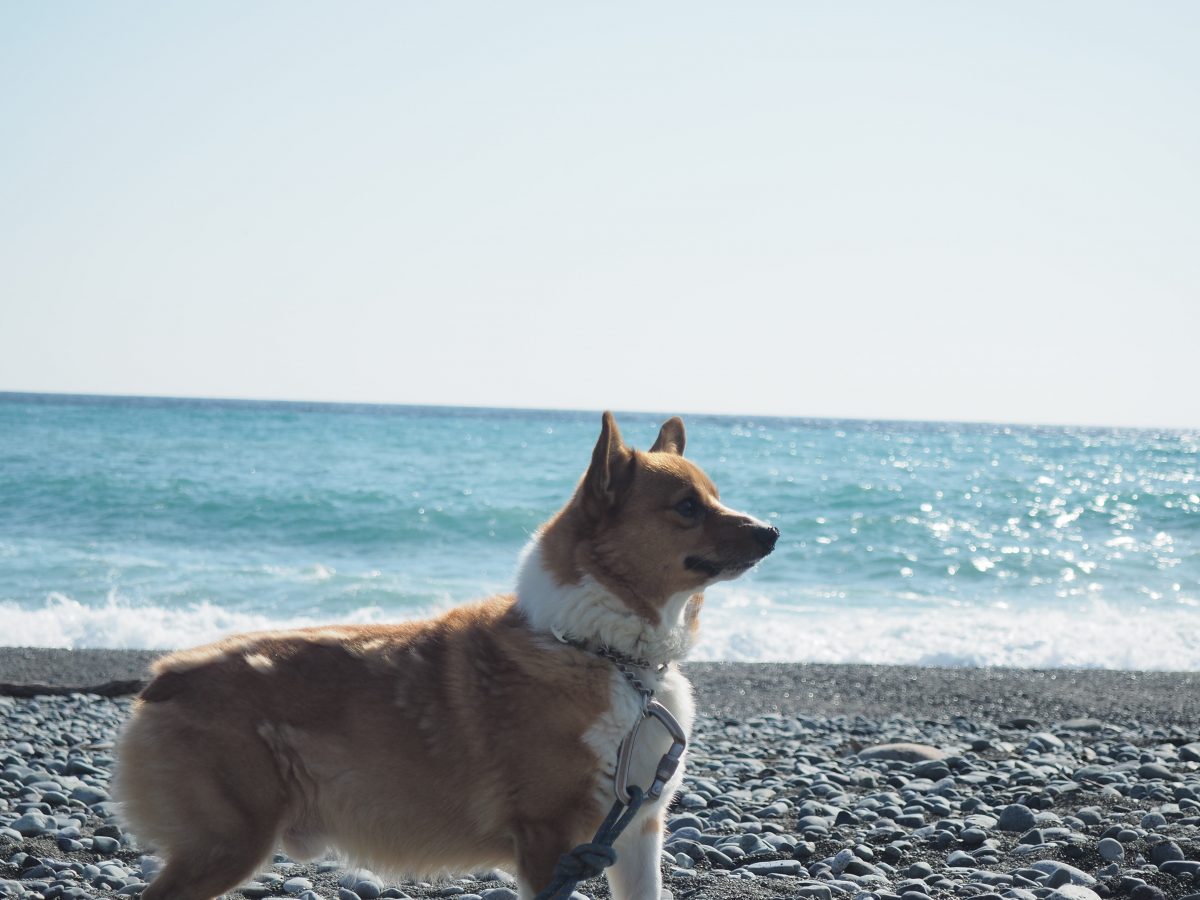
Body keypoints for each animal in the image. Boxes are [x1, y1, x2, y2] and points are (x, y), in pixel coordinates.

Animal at [112, 415, 777, 900]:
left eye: (715, 496)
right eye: (686, 506)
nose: (772, 531)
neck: (604, 651)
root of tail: (166, 676)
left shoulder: (636, 833)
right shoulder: (548, 839)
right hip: (228, 843)